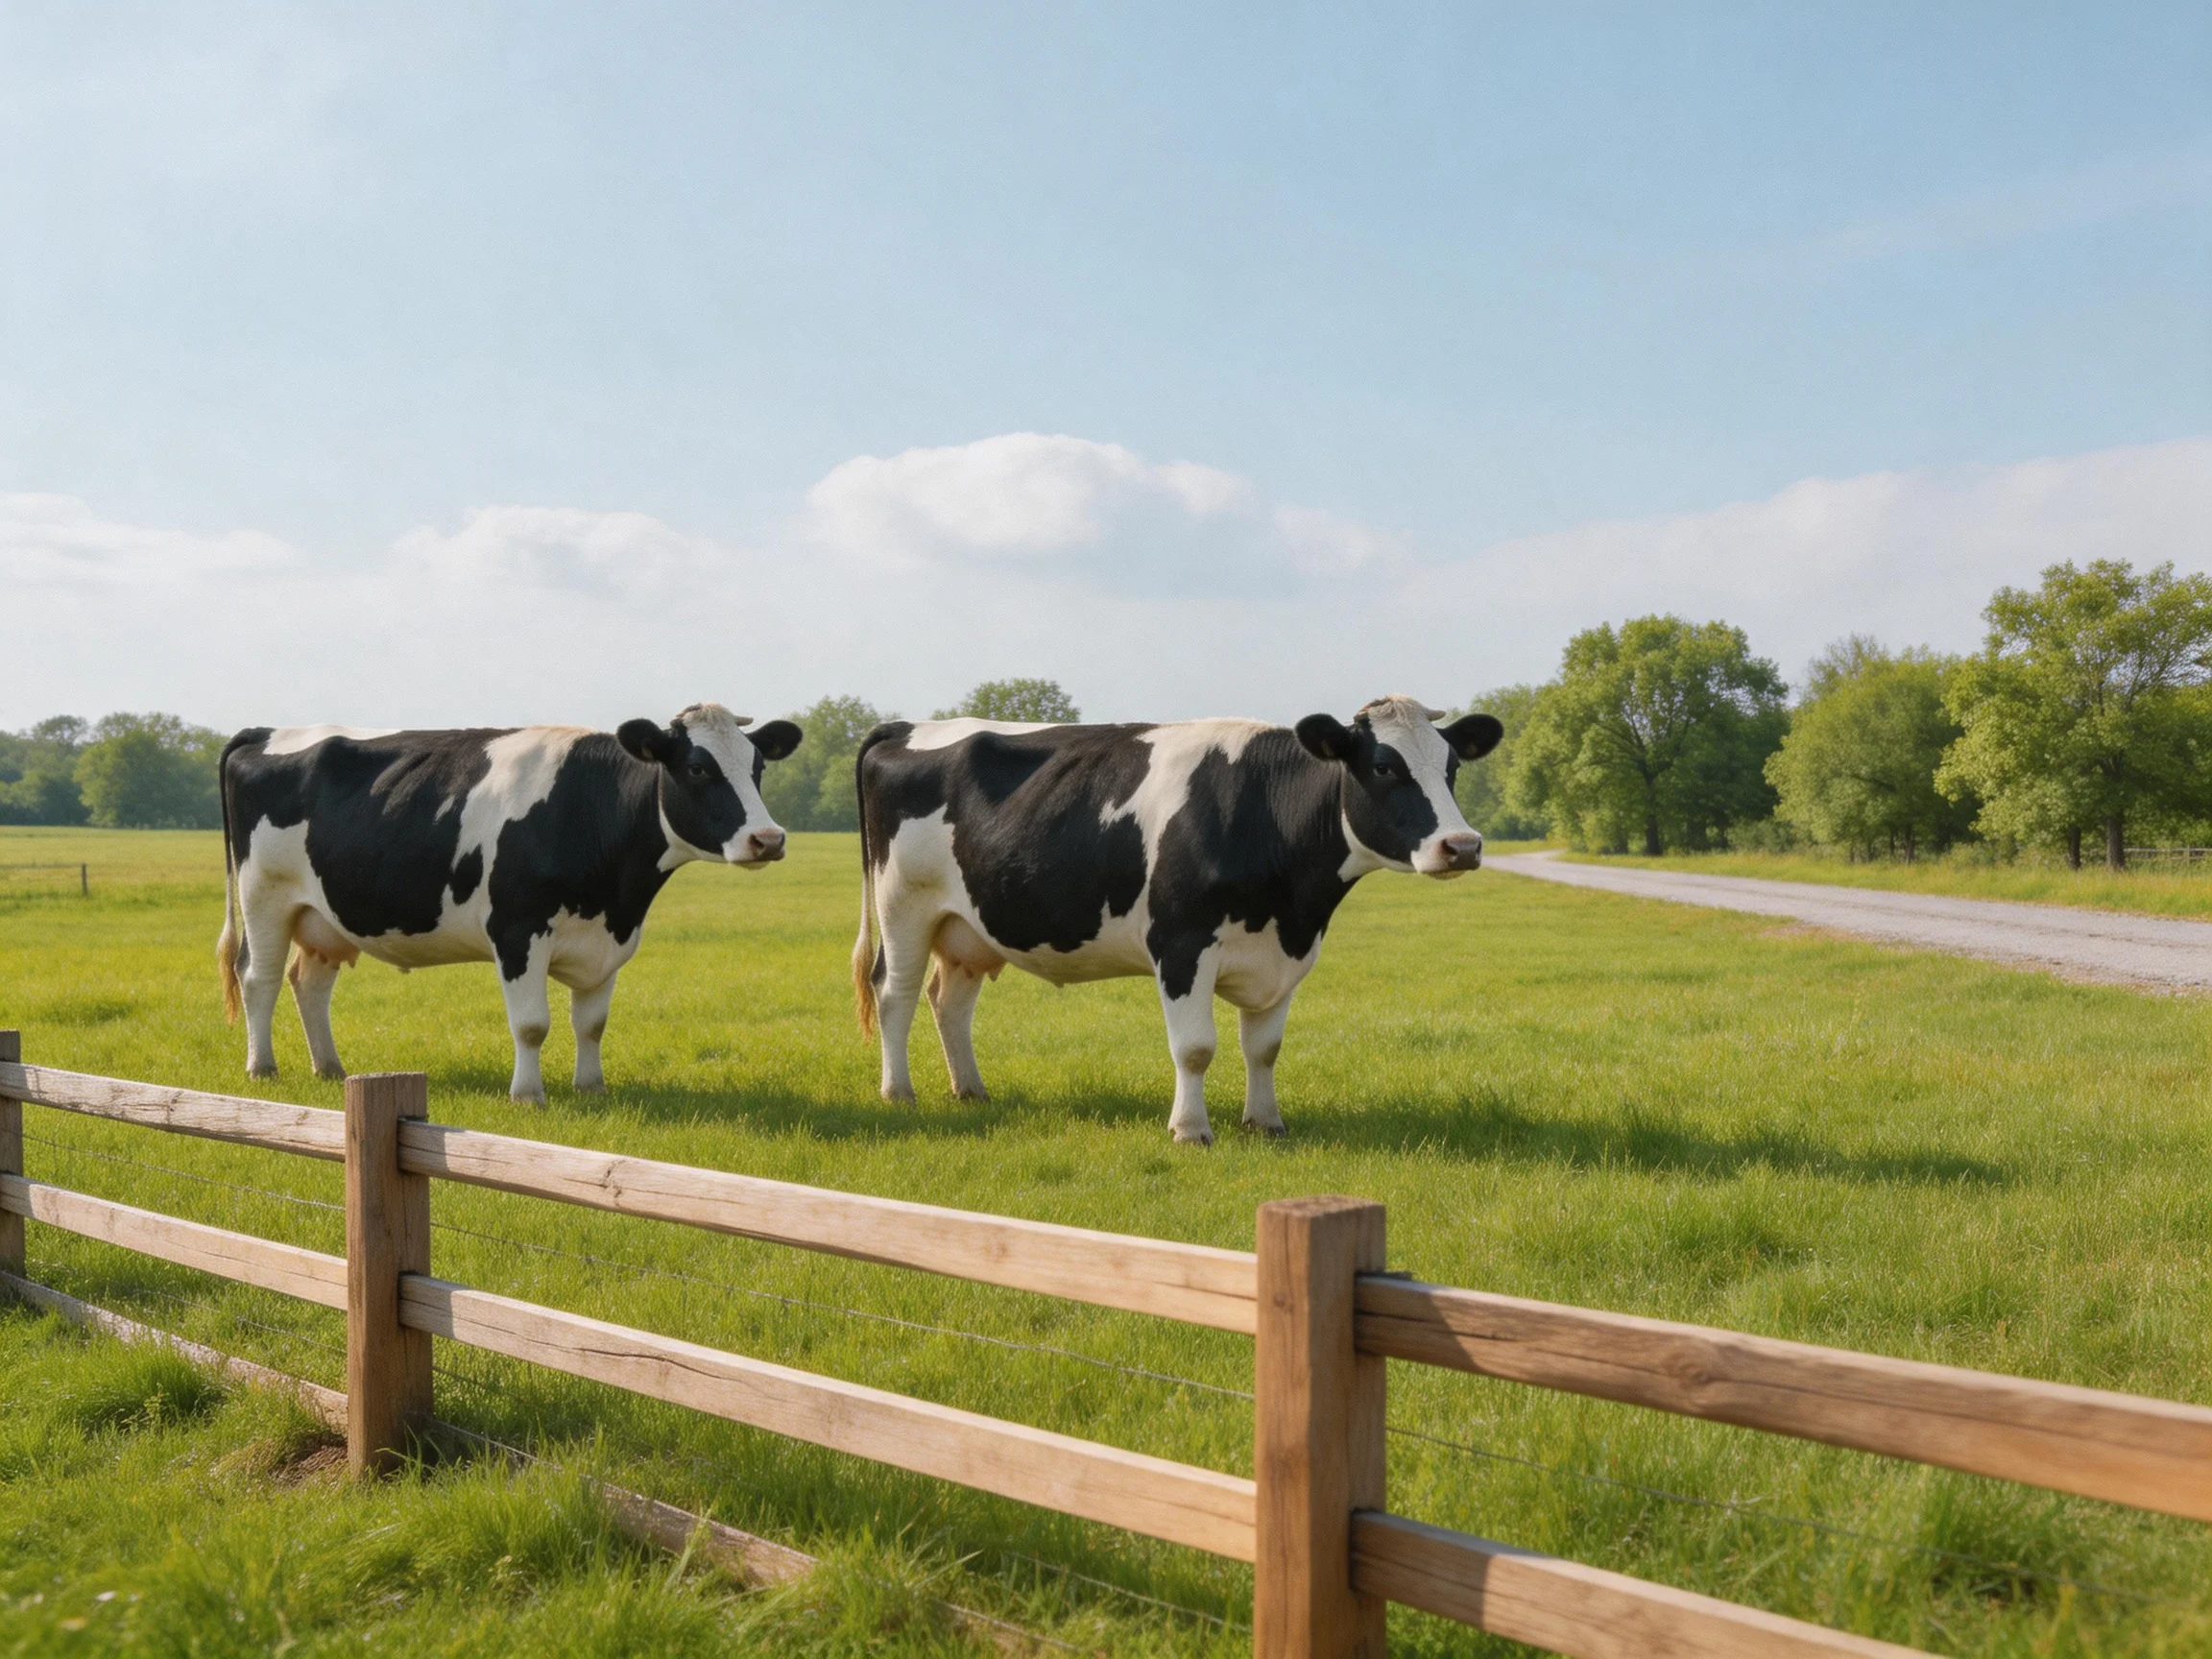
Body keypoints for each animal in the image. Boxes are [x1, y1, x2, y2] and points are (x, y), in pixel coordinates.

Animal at [216, 704, 802, 1101]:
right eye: (699, 768)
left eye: (757, 768)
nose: (768, 839)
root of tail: (263, 731)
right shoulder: (518, 930)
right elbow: (532, 1025)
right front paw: (528, 1095)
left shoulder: (608, 939)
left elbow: (592, 1024)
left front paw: (591, 1088)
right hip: (264, 895)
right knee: (259, 978)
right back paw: (262, 1068)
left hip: (324, 917)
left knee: (309, 983)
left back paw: (331, 1069)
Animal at [851, 694, 1503, 1144]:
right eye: (1385, 767)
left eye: (1451, 769)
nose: (1462, 846)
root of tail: (906, 726)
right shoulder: (1182, 944)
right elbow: (1194, 1048)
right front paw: (1191, 1130)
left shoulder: (1285, 954)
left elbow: (1264, 1048)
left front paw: (1266, 1123)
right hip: (903, 905)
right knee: (895, 993)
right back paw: (898, 1093)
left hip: (967, 926)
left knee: (949, 1001)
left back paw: (971, 1091)